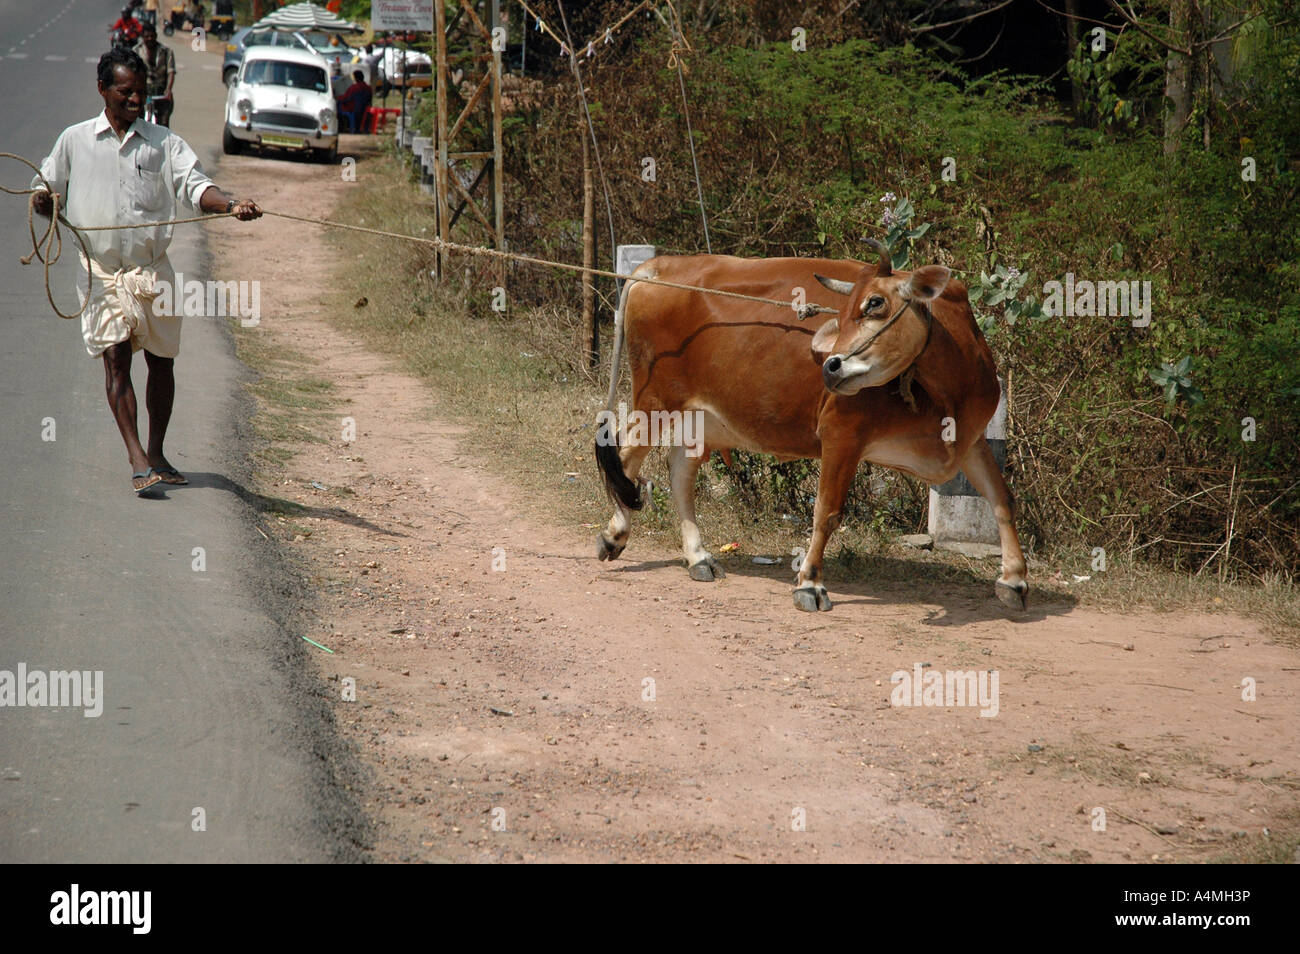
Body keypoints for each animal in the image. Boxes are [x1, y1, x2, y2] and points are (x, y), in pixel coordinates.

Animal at [594, 242, 1028, 613]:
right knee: (626, 460)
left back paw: (698, 557)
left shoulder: (972, 440)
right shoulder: (841, 433)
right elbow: (827, 512)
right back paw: (615, 535)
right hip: (654, 404)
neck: (949, 387)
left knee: (679, 472)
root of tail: (658, 267)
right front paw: (810, 583)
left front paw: (1014, 579)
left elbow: (1002, 500)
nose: (831, 365)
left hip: (701, 418)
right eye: (843, 309)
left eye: (875, 303)